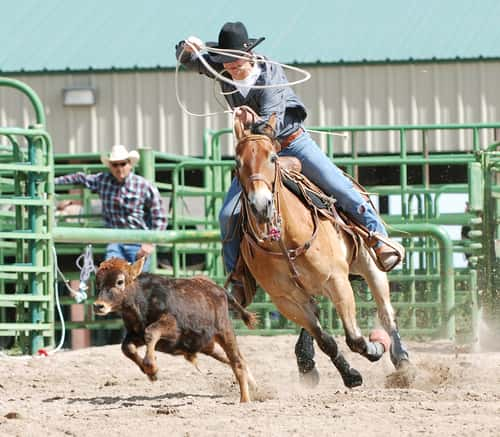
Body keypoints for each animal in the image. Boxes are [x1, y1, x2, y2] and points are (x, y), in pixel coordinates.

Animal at [93, 255, 258, 402]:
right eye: (98, 283)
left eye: (119, 281)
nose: (98, 306)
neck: (143, 300)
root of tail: (219, 289)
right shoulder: (136, 334)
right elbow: (126, 347)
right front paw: (150, 373)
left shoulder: (174, 329)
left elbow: (151, 331)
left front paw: (151, 368)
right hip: (206, 344)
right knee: (231, 359)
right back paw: (255, 387)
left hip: (224, 331)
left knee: (237, 362)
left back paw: (245, 399)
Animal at [234, 114, 414, 386]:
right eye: (237, 161)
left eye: (272, 158)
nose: (261, 206)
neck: (284, 240)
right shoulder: (285, 300)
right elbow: (325, 339)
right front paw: (350, 375)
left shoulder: (337, 280)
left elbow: (354, 338)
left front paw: (376, 347)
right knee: (317, 314)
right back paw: (306, 361)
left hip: (370, 264)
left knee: (386, 312)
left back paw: (402, 361)